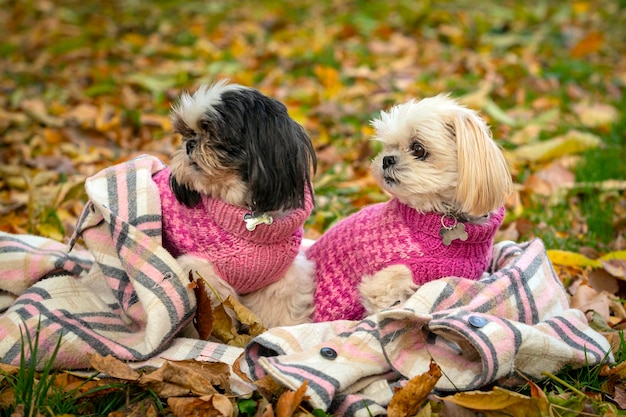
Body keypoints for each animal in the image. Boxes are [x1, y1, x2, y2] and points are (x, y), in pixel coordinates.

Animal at [151, 79, 316, 326]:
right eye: (186, 133)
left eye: (213, 133)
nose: (190, 143)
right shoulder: (204, 275)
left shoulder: (281, 280)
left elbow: (281, 316)